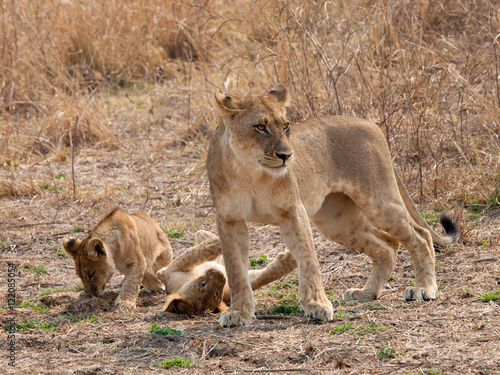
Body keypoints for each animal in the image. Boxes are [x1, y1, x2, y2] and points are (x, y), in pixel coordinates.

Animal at [205, 83, 458, 328]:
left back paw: (423, 288)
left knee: (421, 236)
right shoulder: (229, 219)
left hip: (379, 202)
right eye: (260, 127)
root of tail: (372, 124)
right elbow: (235, 270)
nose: (287, 155)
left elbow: (308, 259)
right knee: (386, 246)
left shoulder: (293, 210)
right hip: (337, 223)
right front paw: (239, 313)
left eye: (285, 126)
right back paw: (367, 292)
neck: (249, 172)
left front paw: (317, 305)